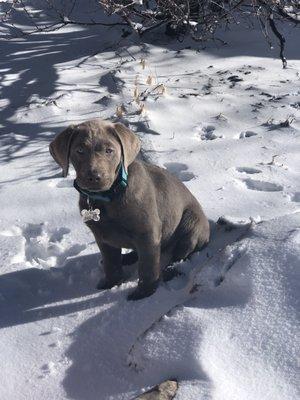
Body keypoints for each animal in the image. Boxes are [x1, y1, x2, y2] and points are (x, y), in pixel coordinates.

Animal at [49, 119, 209, 300]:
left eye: (109, 150)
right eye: (80, 150)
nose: (94, 177)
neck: (109, 196)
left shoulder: (148, 233)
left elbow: (147, 267)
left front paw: (145, 292)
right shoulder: (102, 237)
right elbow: (111, 263)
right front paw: (112, 283)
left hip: (191, 224)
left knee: (180, 253)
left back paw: (171, 269)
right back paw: (126, 258)